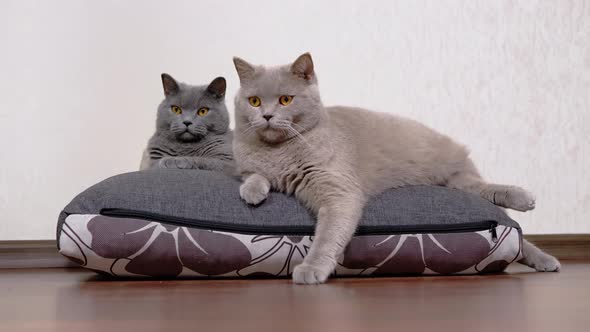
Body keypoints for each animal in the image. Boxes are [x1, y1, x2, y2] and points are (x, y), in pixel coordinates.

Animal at [234, 53, 560, 284]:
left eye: (285, 99)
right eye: (254, 101)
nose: (266, 115)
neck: (279, 152)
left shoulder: (338, 191)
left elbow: (327, 235)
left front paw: (311, 269)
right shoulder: (248, 163)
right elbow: (253, 173)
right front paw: (252, 191)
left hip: (456, 175)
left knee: (493, 198)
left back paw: (526, 203)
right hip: (457, 184)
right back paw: (543, 257)